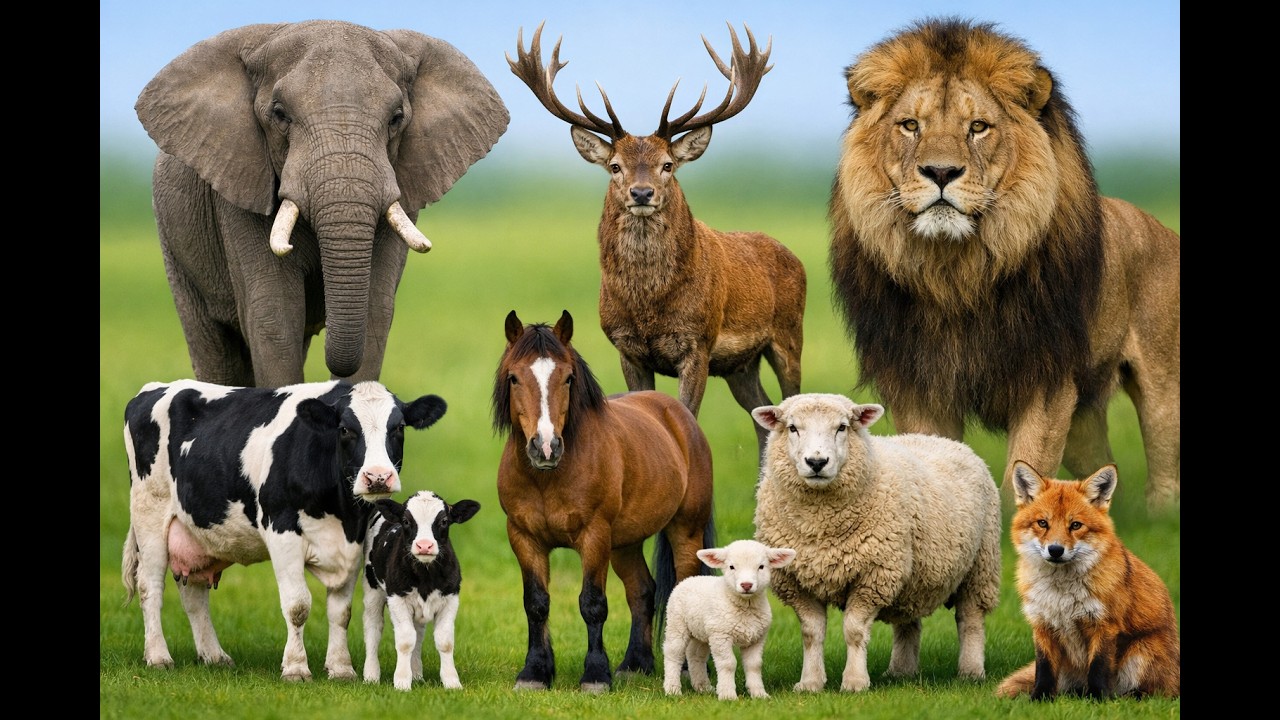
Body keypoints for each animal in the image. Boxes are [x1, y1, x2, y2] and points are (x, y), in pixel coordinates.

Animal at [492, 309, 717, 693]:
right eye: (514, 378)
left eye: (568, 378)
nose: (546, 447)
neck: (547, 478)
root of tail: (681, 416)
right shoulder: (523, 537)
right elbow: (536, 603)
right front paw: (535, 672)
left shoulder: (594, 536)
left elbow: (592, 604)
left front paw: (596, 675)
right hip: (624, 543)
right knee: (642, 591)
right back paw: (635, 665)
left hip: (686, 530)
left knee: (684, 589)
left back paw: (687, 669)